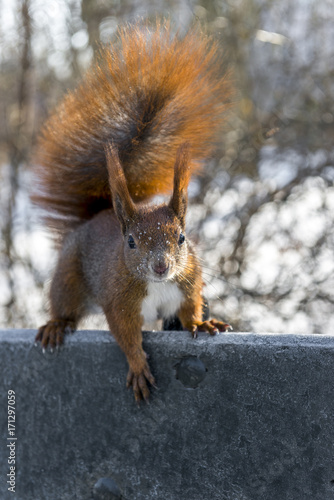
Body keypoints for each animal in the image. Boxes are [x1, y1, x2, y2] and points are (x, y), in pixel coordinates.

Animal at [33, 21, 232, 402]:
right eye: (130, 243)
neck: (157, 285)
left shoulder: (189, 286)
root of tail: (95, 217)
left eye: (182, 238)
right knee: (65, 304)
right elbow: (126, 336)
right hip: (69, 277)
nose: (161, 266)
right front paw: (139, 367)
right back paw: (57, 324)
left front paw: (203, 323)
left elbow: (189, 312)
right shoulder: (119, 303)